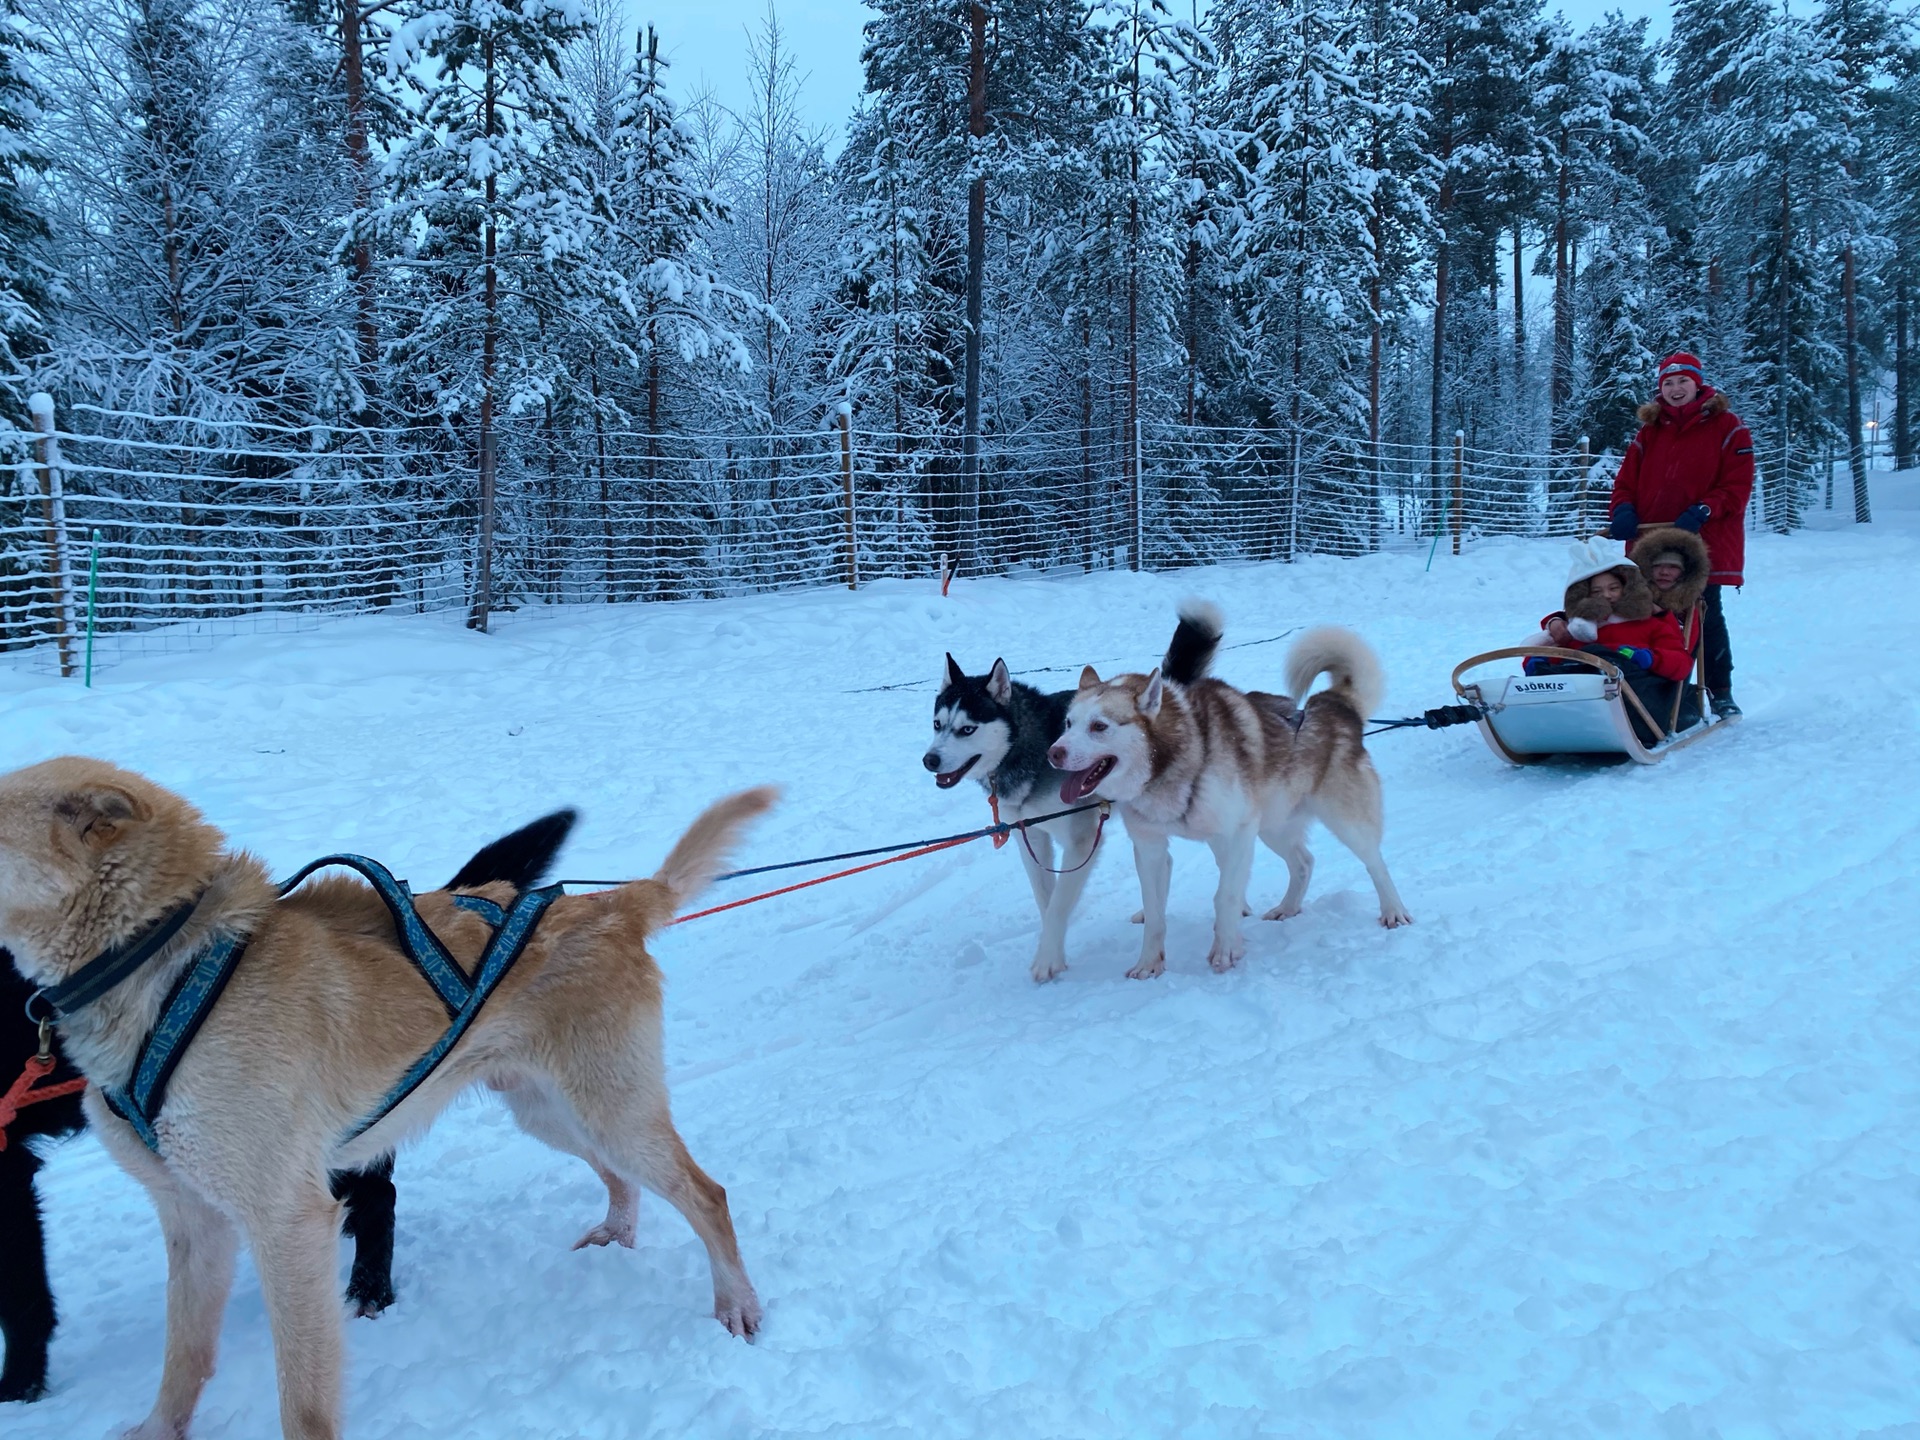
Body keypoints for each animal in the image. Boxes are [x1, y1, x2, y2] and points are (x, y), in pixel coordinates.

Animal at [1052, 602, 1413, 990]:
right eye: (1069, 723)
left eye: (1099, 726)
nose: (1053, 753)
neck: (1176, 763)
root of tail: (1334, 705)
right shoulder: (1150, 848)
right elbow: (1155, 913)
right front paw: (1149, 964)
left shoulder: (1237, 833)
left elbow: (1224, 895)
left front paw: (1225, 950)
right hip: (1272, 827)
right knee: (1303, 862)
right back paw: (1287, 908)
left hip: (1342, 821)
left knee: (1375, 863)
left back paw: (1394, 910)